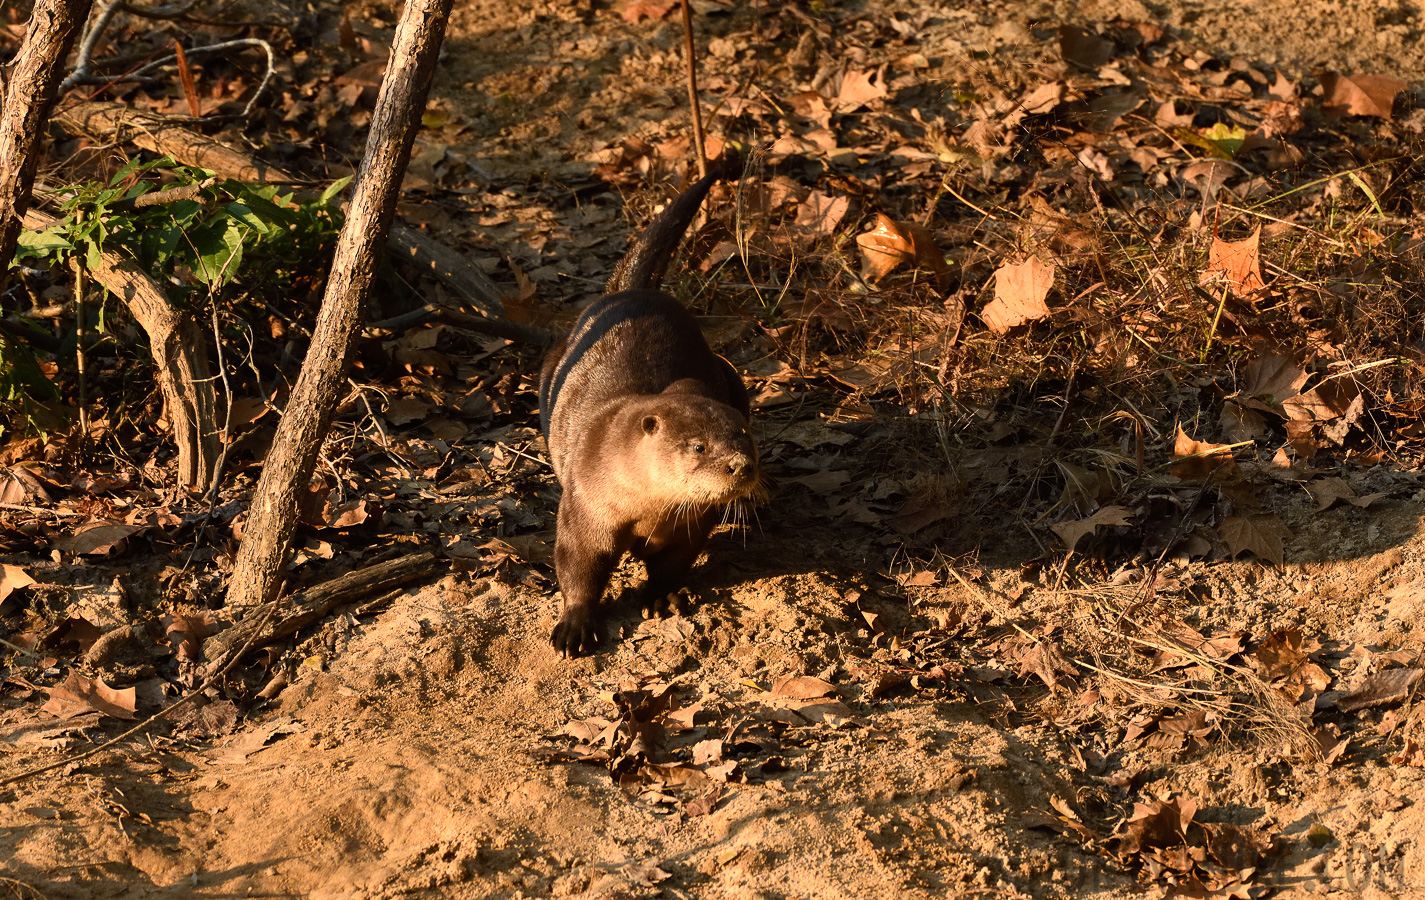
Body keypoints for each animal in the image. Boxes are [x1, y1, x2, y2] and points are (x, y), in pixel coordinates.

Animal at [535, 160, 758, 655]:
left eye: (744, 438)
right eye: (698, 446)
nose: (741, 465)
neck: (647, 507)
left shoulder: (692, 525)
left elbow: (673, 562)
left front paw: (659, 595)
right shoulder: (585, 506)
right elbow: (577, 565)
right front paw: (574, 626)